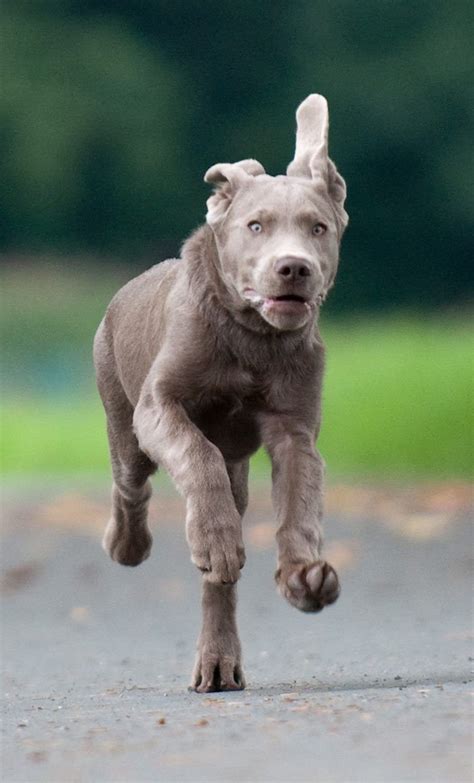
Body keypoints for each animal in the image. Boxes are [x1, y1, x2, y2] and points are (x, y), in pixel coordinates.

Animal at [95, 93, 348, 692]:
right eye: (255, 225)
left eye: (318, 228)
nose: (294, 268)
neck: (252, 340)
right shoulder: (160, 406)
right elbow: (198, 452)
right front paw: (212, 539)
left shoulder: (294, 430)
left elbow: (300, 501)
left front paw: (304, 576)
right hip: (123, 422)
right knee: (131, 487)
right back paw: (130, 546)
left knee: (219, 584)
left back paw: (218, 663)